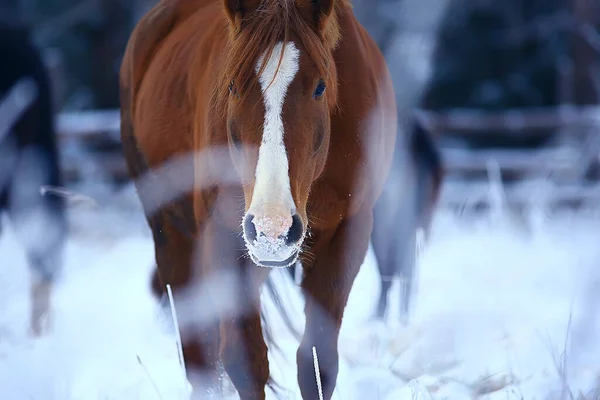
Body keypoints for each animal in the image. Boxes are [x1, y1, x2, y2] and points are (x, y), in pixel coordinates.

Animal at [119, 1, 396, 398]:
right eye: (233, 85)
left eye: (320, 86)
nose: (272, 228)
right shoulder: (225, 239)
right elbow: (246, 362)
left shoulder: (347, 235)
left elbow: (317, 362)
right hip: (171, 234)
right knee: (199, 358)